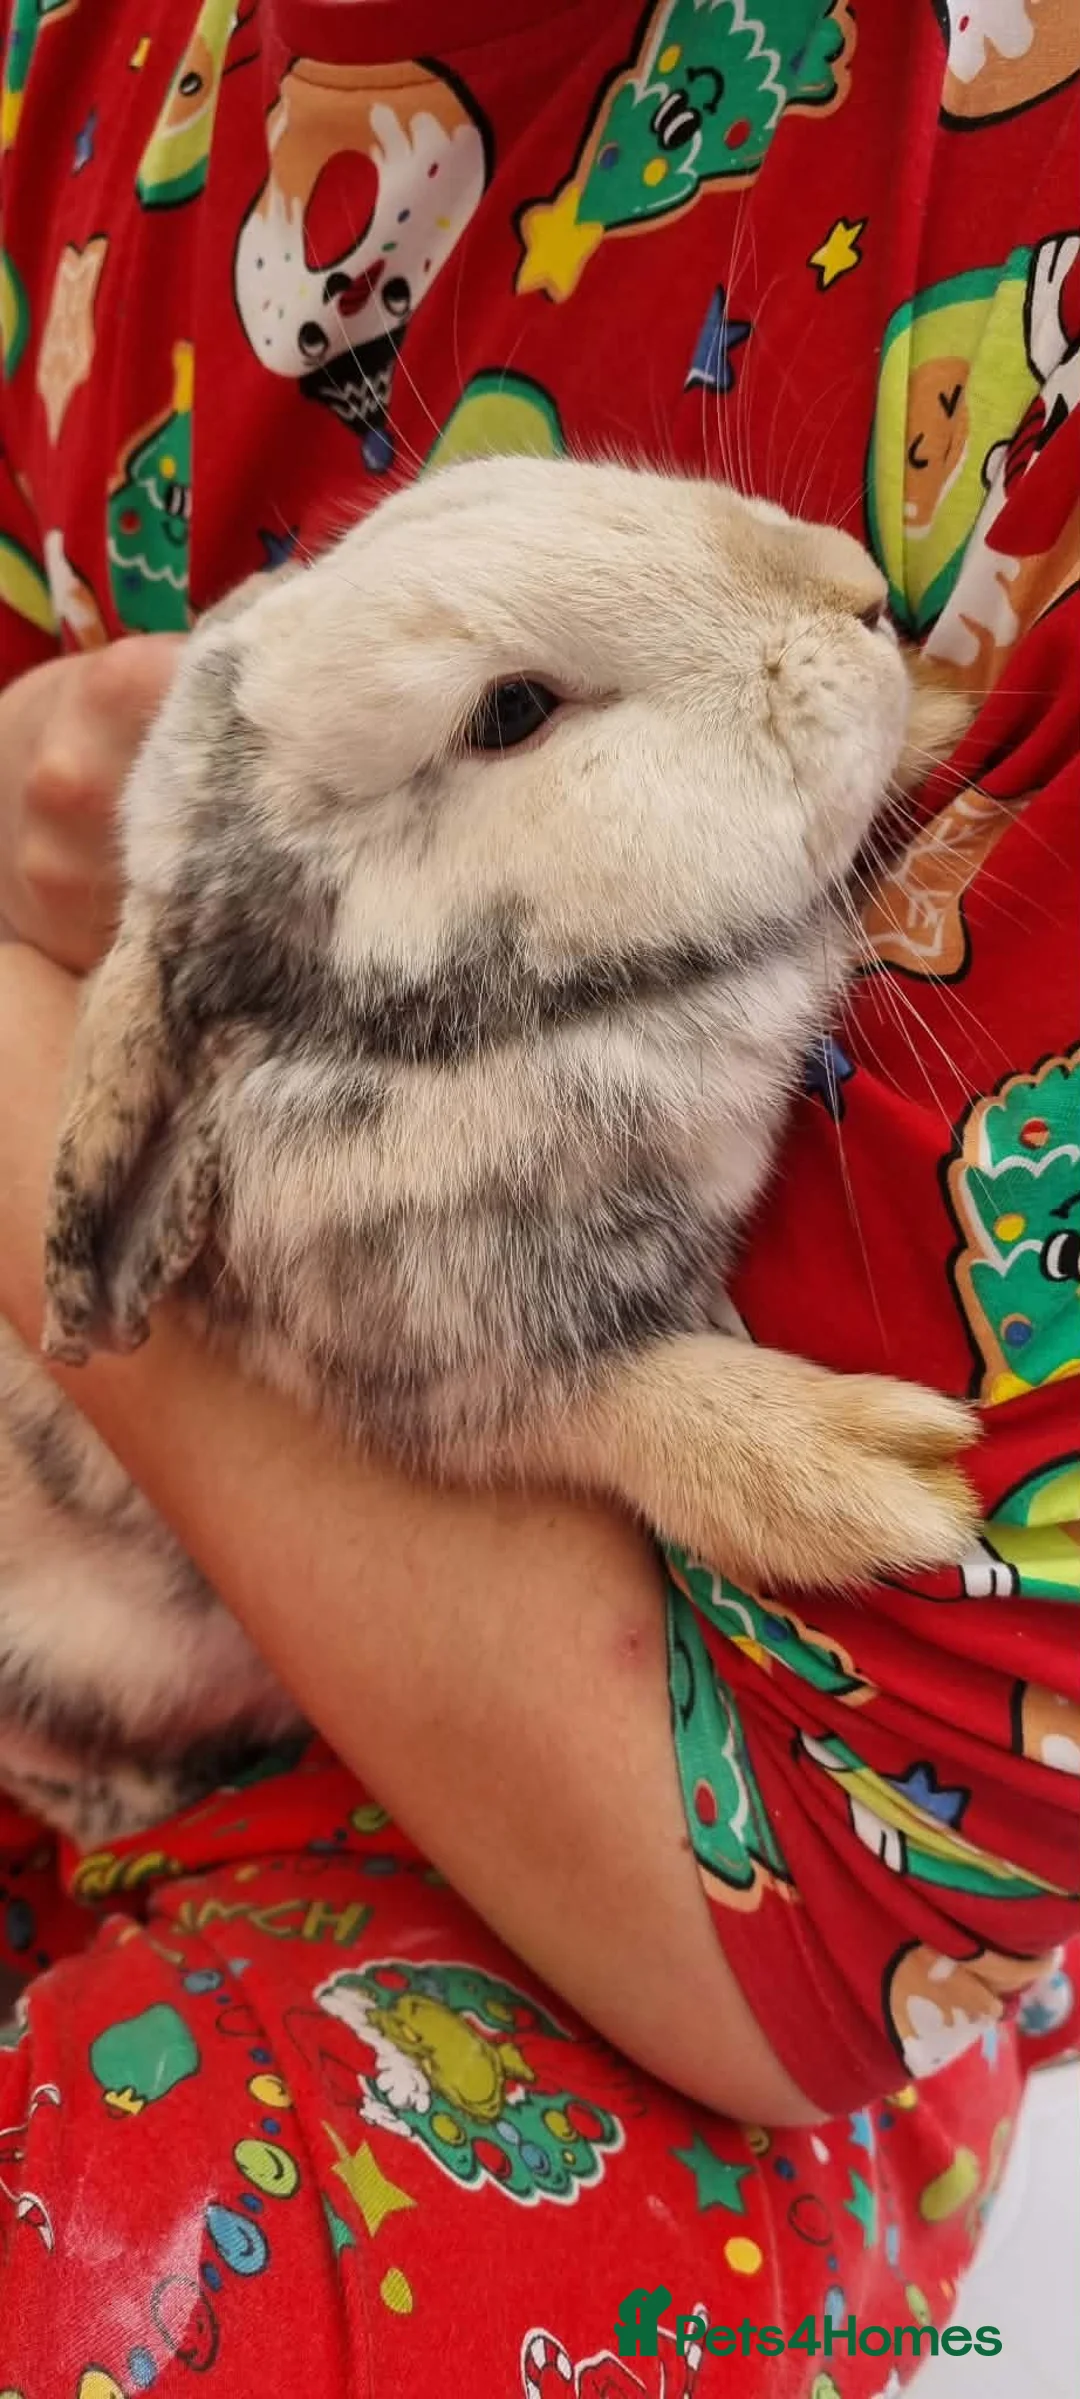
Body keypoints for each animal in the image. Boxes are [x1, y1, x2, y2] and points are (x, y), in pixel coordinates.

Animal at [0, 456, 980, 1849]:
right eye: (511, 711)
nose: (855, 591)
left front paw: (939, 709)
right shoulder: (443, 1374)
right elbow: (633, 1399)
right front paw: (872, 1474)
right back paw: (128, 1800)